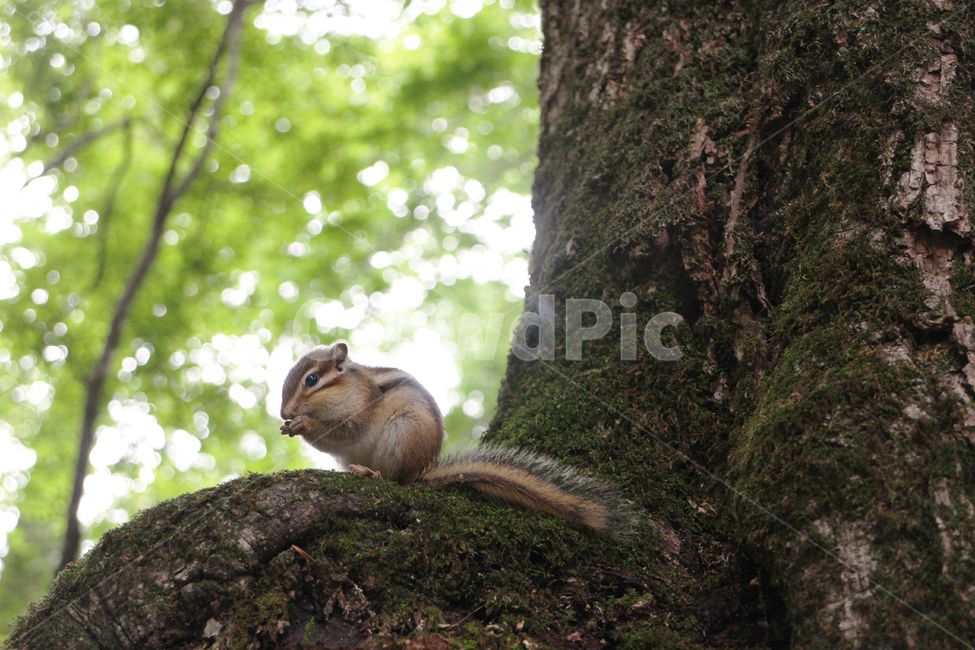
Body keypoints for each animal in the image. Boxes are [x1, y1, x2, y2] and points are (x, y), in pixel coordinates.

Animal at [279, 342, 633, 535]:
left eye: (312, 379)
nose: (284, 411)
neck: (349, 387)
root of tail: (422, 472)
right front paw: (288, 425)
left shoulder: (363, 407)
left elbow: (343, 430)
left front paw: (303, 424)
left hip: (404, 430)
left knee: (395, 480)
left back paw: (371, 472)